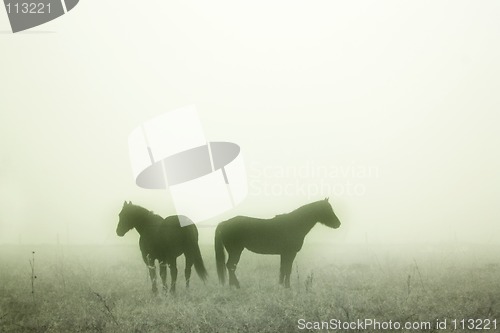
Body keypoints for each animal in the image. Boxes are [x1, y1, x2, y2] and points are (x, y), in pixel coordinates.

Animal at [213, 197, 342, 288]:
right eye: (327, 209)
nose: (338, 224)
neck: (295, 224)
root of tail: (224, 223)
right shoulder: (290, 253)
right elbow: (287, 269)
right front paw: (287, 287)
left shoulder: (284, 254)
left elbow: (283, 269)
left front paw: (281, 286)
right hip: (236, 251)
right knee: (231, 266)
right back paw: (236, 285)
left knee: (230, 267)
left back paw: (233, 285)